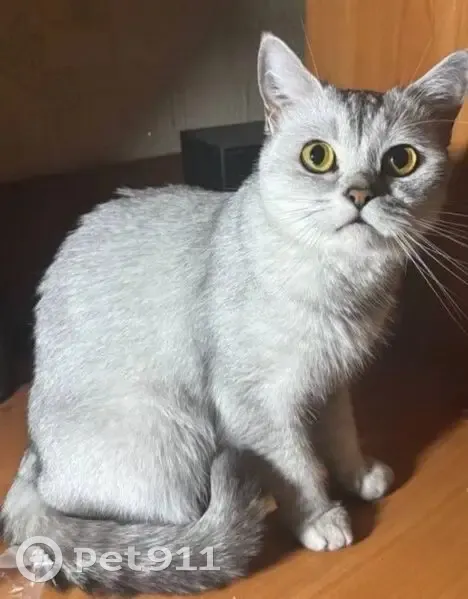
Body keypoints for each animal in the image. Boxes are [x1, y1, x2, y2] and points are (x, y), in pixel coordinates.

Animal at [1, 32, 467, 596]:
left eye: (401, 160)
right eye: (317, 156)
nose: (359, 194)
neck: (340, 284)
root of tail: (32, 459)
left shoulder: (331, 380)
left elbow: (341, 433)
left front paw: (357, 476)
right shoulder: (253, 401)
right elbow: (296, 464)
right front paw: (320, 517)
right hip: (174, 440)